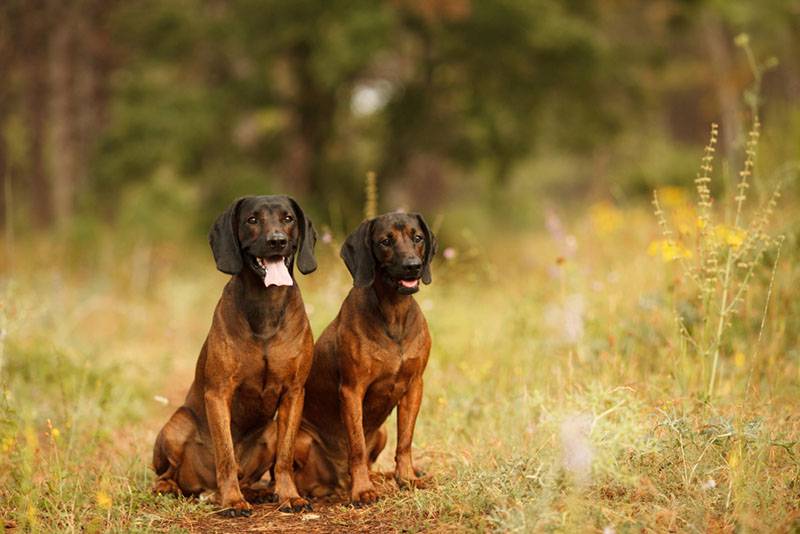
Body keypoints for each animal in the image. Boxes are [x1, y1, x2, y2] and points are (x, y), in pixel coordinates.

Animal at [153, 195, 318, 516]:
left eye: (288, 218)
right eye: (252, 220)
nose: (277, 241)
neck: (266, 303)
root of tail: (205, 488)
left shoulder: (294, 393)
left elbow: (285, 457)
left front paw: (289, 496)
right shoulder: (218, 393)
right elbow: (226, 455)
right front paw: (232, 501)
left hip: (269, 431)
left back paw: (257, 492)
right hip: (177, 424)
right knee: (168, 473)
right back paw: (178, 488)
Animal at [290, 211, 434, 504]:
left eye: (418, 238)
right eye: (385, 241)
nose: (413, 266)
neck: (394, 313)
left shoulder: (414, 386)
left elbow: (405, 441)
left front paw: (407, 478)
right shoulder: (352, 389)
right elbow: (356, 445)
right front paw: (363, 490)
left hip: (382, 432)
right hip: (301, 440)